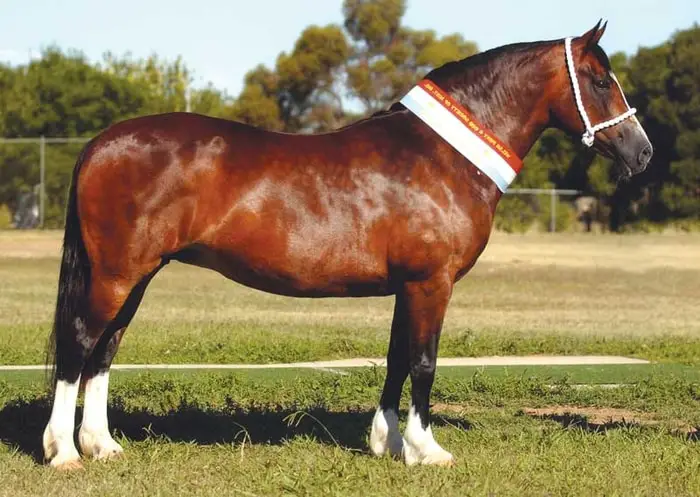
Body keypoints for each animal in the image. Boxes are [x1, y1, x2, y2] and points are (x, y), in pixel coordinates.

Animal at [42, 20, 652, 468]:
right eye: (601, 81)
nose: (642, 151)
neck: (440, 155)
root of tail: (99, 143)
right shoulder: (431, 284)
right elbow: (424, 362)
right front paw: (427, 450)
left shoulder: (409, 287)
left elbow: (397, 358)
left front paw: (388, 443)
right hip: (116, 273)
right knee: (80, 344)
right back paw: (64, 452)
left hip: (136, 274)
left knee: (105, 350)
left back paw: (103, 446)